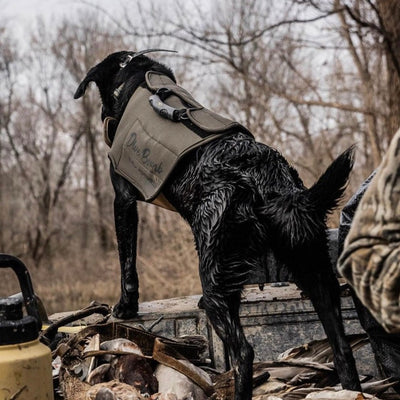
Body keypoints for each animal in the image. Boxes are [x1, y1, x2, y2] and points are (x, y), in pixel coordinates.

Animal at [74, 50, 360, 396]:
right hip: (315, 269)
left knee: (244, 353)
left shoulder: (124, 199)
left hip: (221, 281)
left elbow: (127, 263)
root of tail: (268, 178)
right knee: (341, 347)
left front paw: (125, 307)